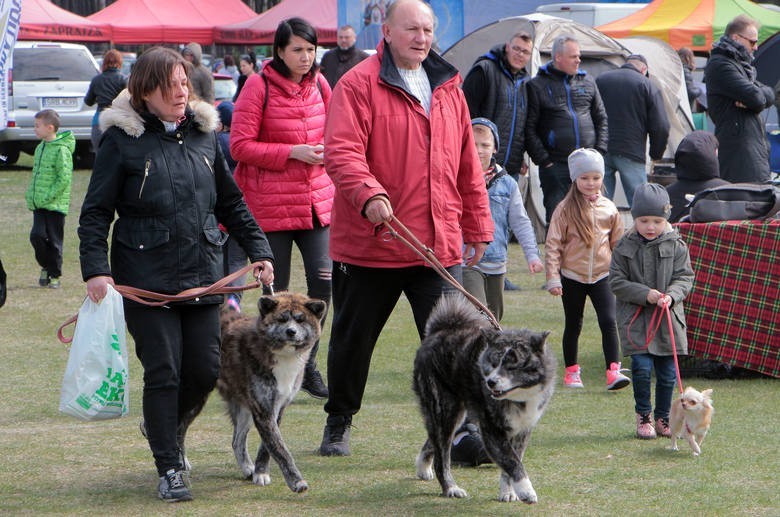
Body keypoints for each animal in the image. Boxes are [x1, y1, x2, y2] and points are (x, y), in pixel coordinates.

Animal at [215, 294, 324, 492]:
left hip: (244, 406)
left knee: (237, 441)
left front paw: (260, 472)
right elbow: (280, 449)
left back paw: (247, 468)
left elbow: (267, 447)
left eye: (300, 320)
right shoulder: (263, 409)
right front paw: (296, 481)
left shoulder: (277, 407)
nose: (291, 332)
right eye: (281, 319)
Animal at [414, 296, 556, 502]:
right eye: (494, 363)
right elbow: (512, 462)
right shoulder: (492, 432)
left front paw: (508, 492)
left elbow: (512, 462)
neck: (518, 397)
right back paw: (450, 488)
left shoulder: (522, 429)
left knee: (434, 441)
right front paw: (526, 490)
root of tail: (438, 332)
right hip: (445, 409)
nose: (490, 382)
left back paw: (423, 467)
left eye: (512, 367)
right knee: (442, 455)